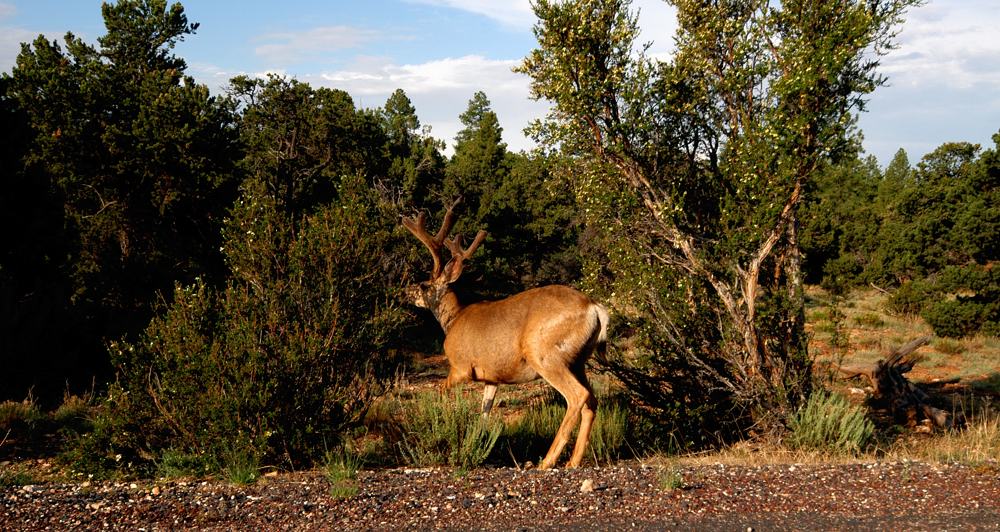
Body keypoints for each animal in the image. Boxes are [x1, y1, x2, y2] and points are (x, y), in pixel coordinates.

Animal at [400, 202, 608, 468]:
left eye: (424, 285)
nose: (405, 292)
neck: (455, 318)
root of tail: (594, 308)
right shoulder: (492, 377)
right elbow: (485, 412)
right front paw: (480, 443)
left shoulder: (461, 367)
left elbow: (440, 392)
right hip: (578, 360)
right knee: (591, 401)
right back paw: (572, 462)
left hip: (543, 353)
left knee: (577, 396)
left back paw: (546, 461)